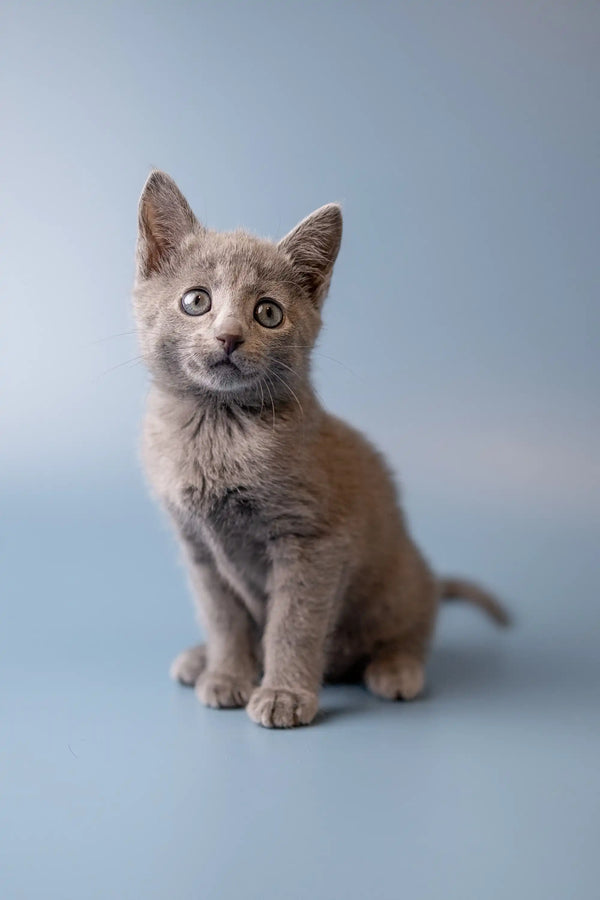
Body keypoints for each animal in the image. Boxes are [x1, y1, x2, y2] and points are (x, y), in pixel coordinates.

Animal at [134, 171, 508, 732]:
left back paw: (396, 669)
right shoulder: (198, 547)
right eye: (196, 301)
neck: (218, 429)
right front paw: (225, 674)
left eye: (268, 312)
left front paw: (283, 693)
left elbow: (294, 622)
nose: (229, 337)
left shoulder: (313, 543)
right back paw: (202, 659)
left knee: (413, 628)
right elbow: (223, 616)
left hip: (399, 582)